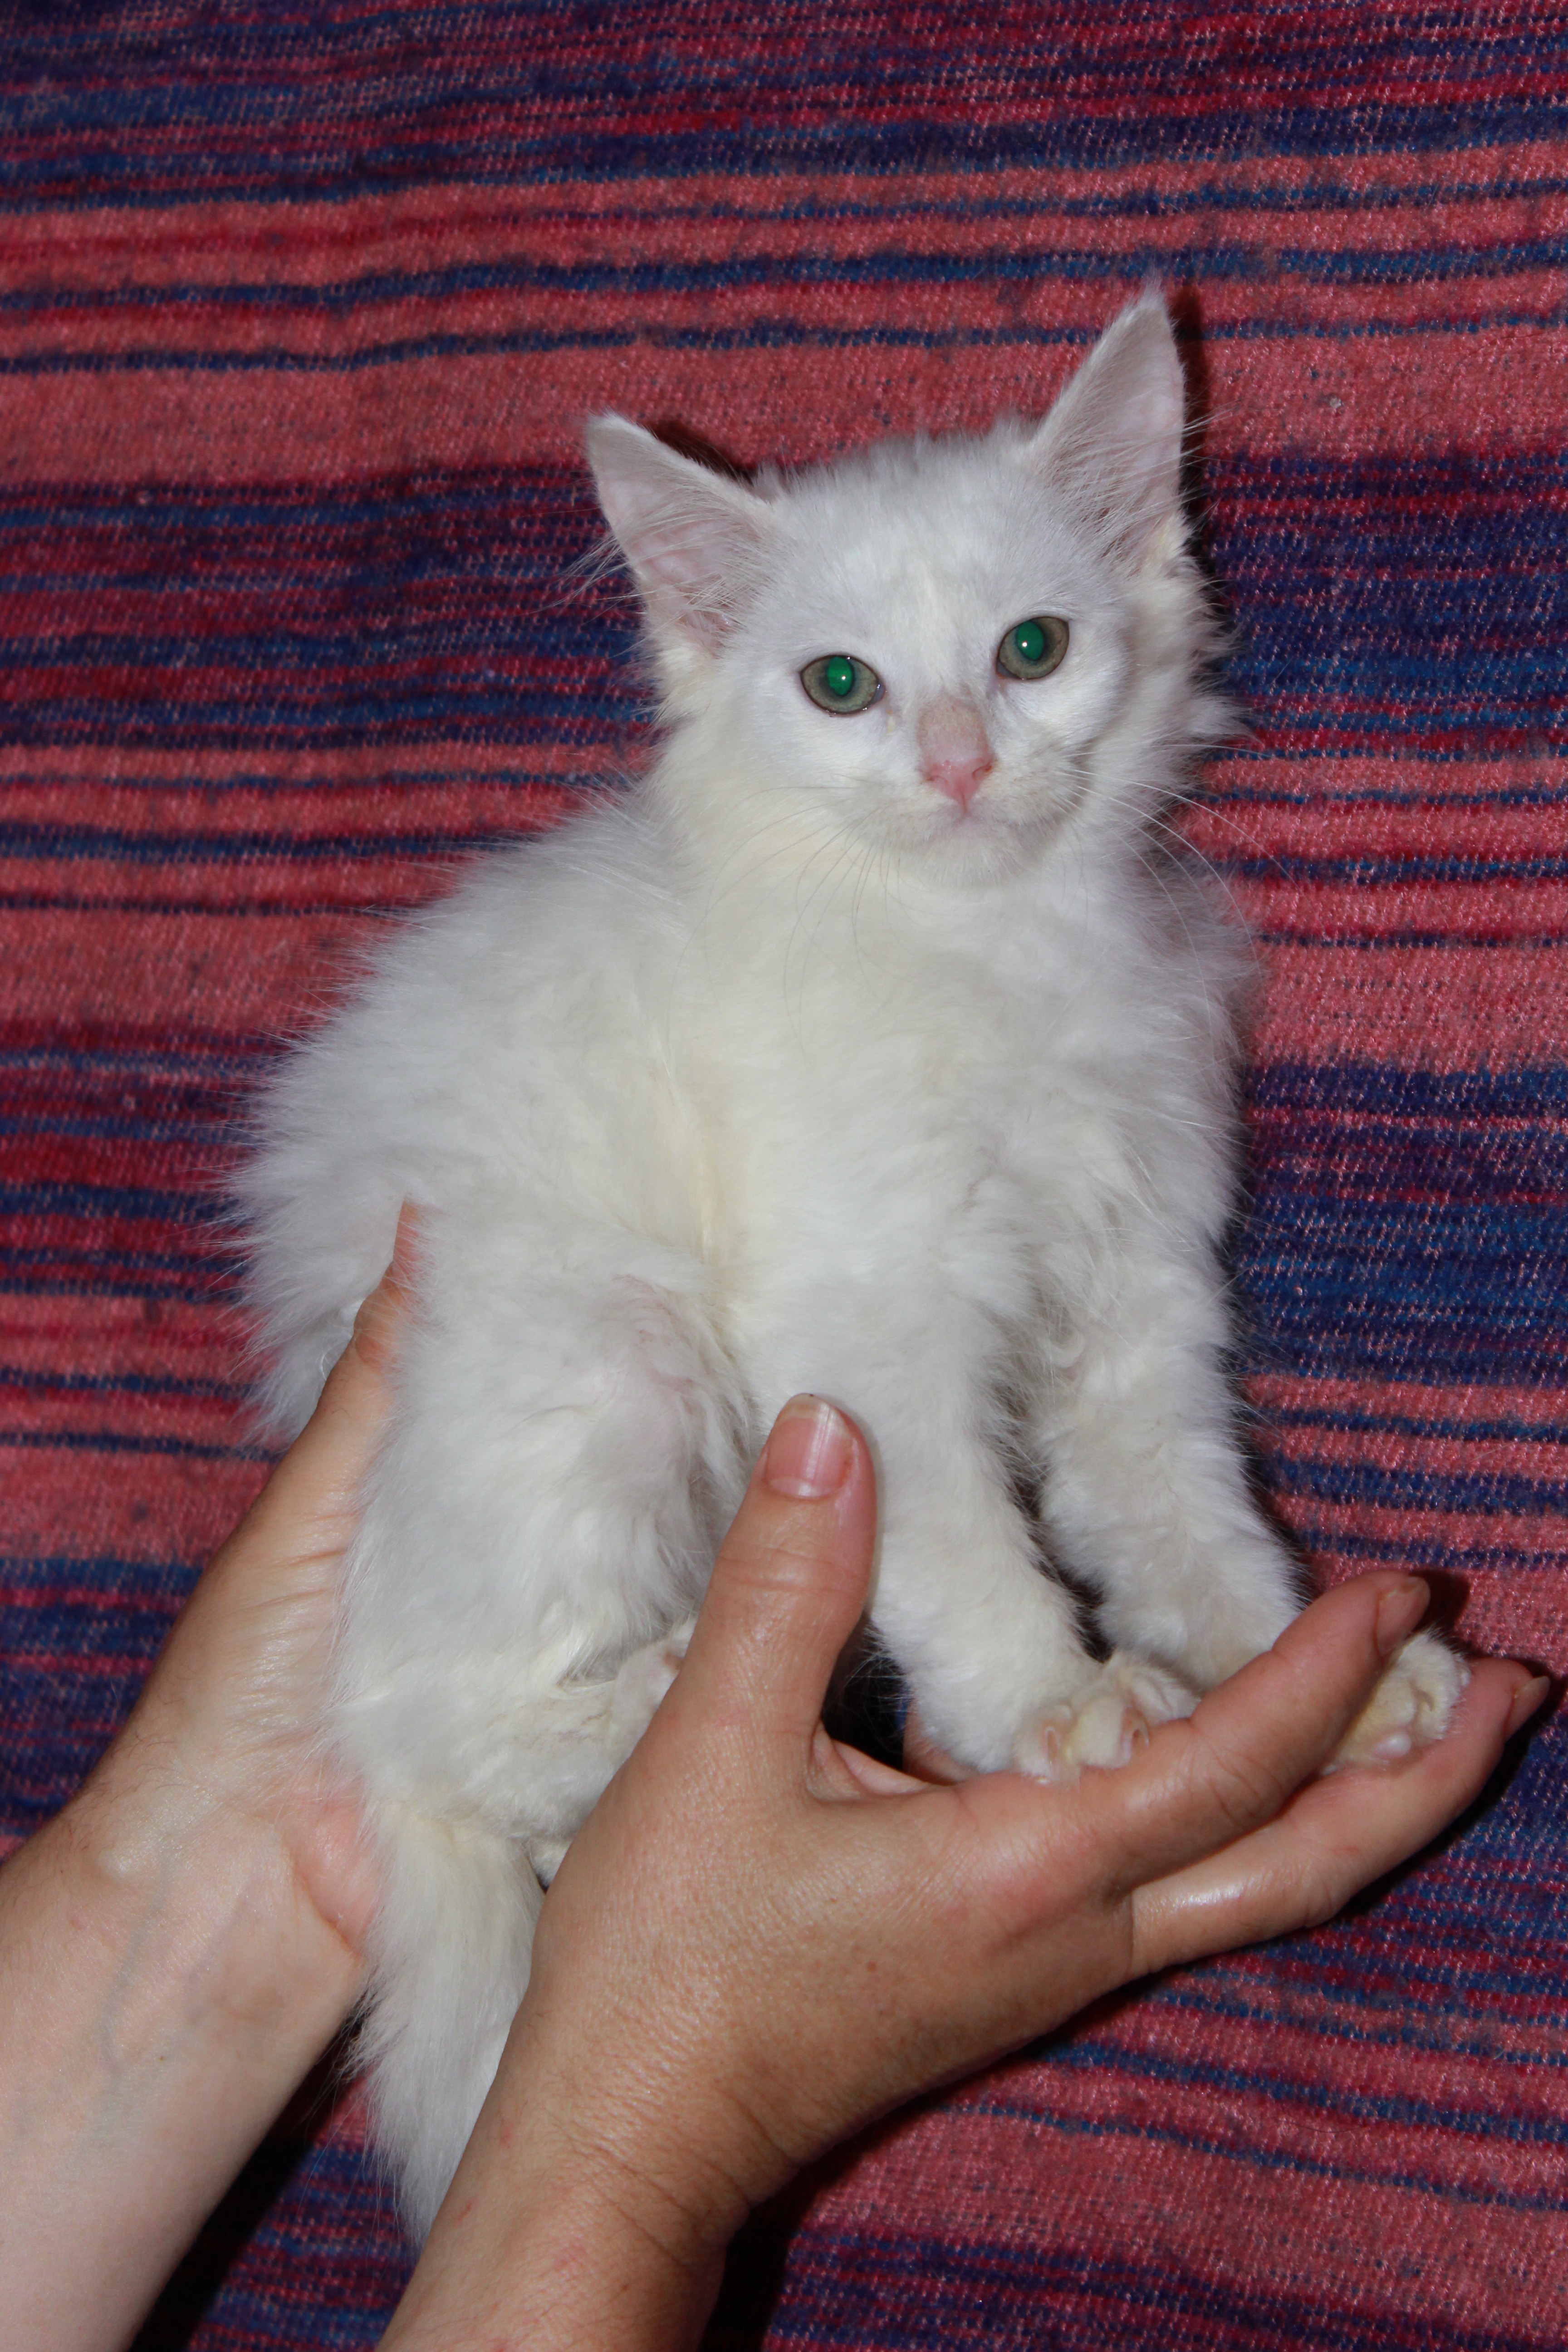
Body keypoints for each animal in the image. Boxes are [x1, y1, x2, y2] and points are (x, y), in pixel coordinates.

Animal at [240, 292, 1464, 2239]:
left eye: (1032, 651)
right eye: (840, 687)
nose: (958, 762)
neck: (985, 939)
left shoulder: (1136, 1281)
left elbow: (1175, 1511)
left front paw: (1285, 1662)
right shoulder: (861, 1308)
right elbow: (959, 1543)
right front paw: (1054, 1703)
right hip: (605, 1350)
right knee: (420, 1722)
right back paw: (650, 1699)